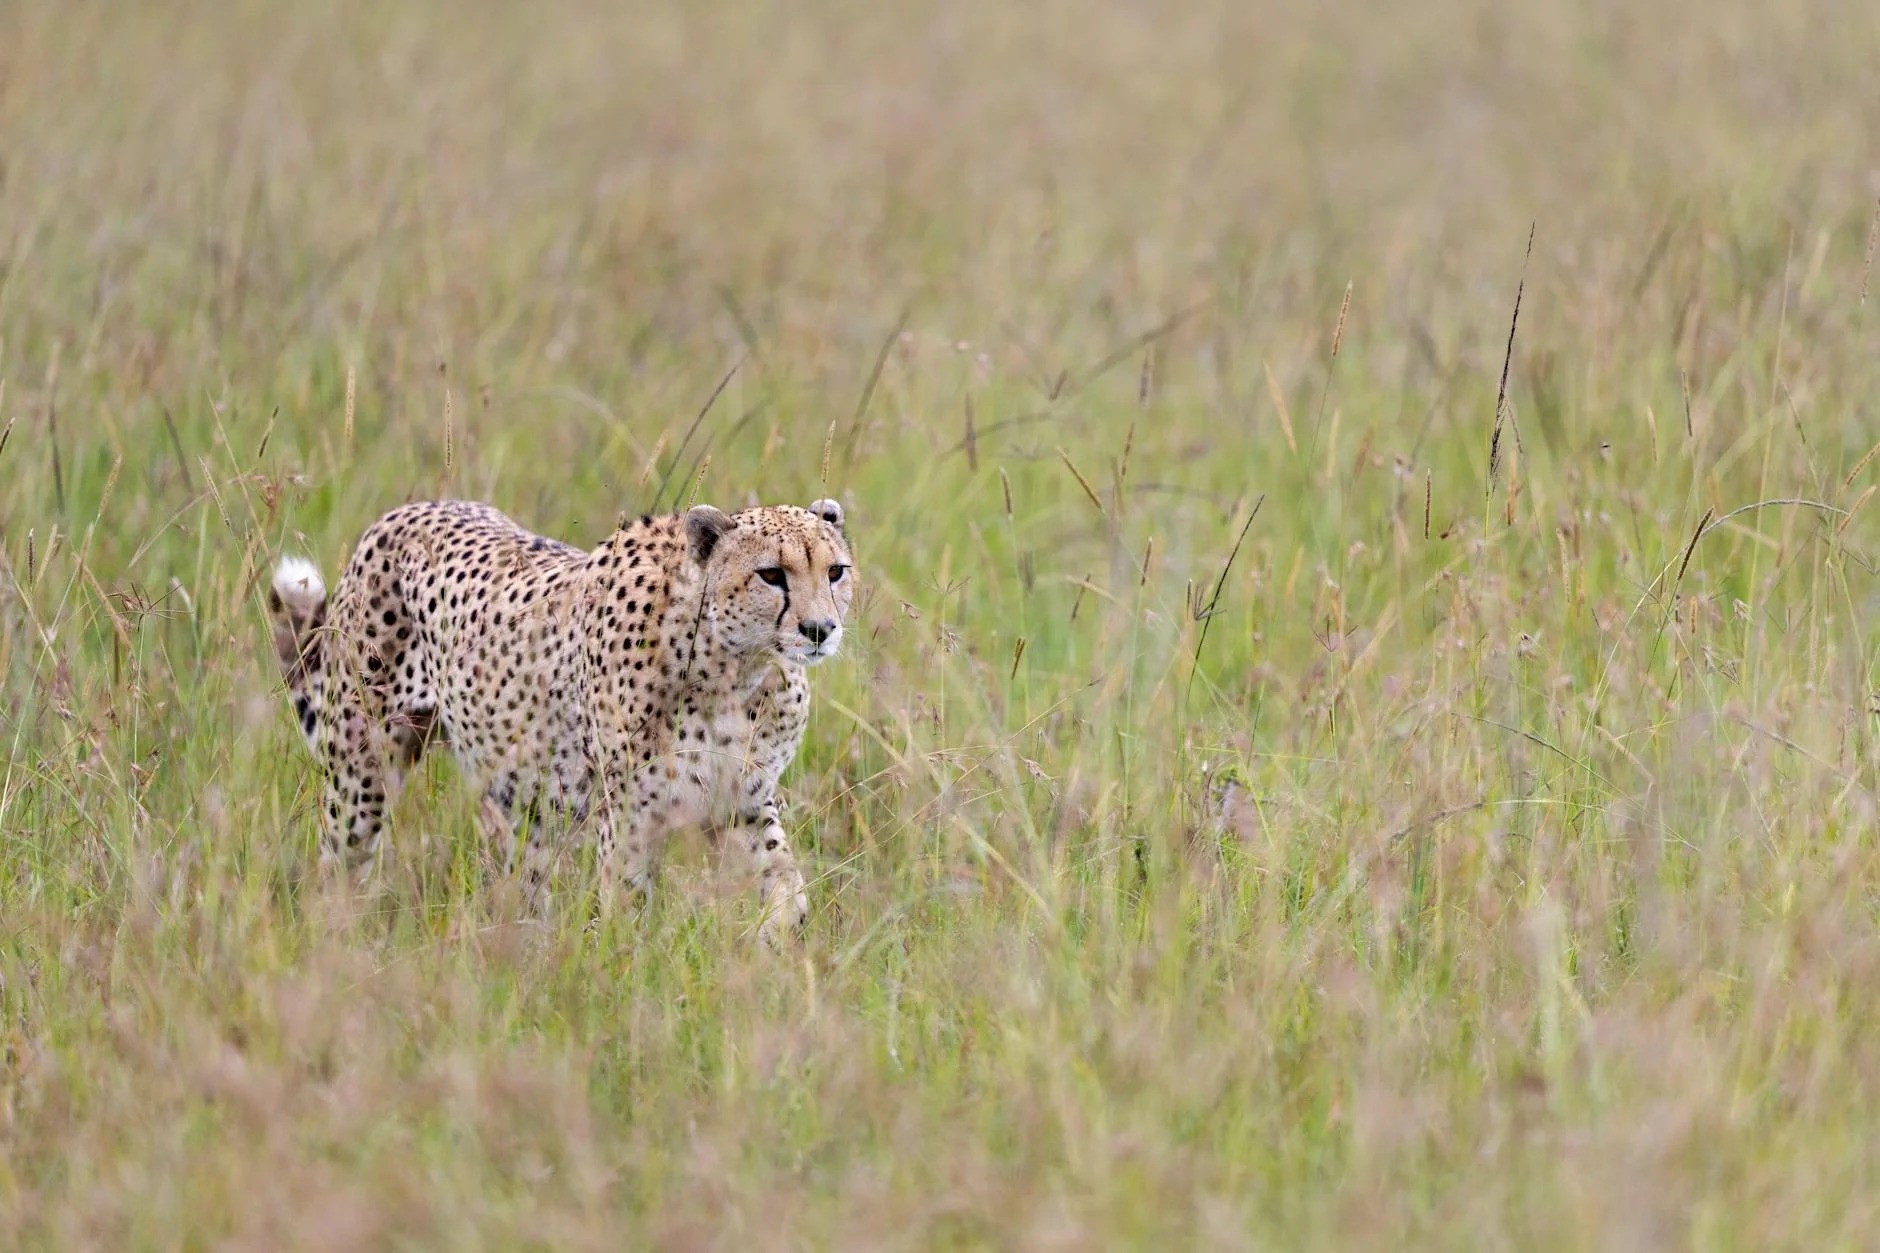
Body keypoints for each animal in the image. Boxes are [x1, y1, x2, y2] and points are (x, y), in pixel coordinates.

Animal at [265, 495, 854, 945]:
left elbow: (786, 884)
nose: (820, 629)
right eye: (771, 575)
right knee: (338, 869)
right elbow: (625, 907)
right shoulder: (629, 812)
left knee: (523, 879)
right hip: (361, 774)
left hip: (524, 799)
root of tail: (403, 511)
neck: (735, 667)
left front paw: (774, 939)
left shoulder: (742, 799)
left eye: (835, 572)